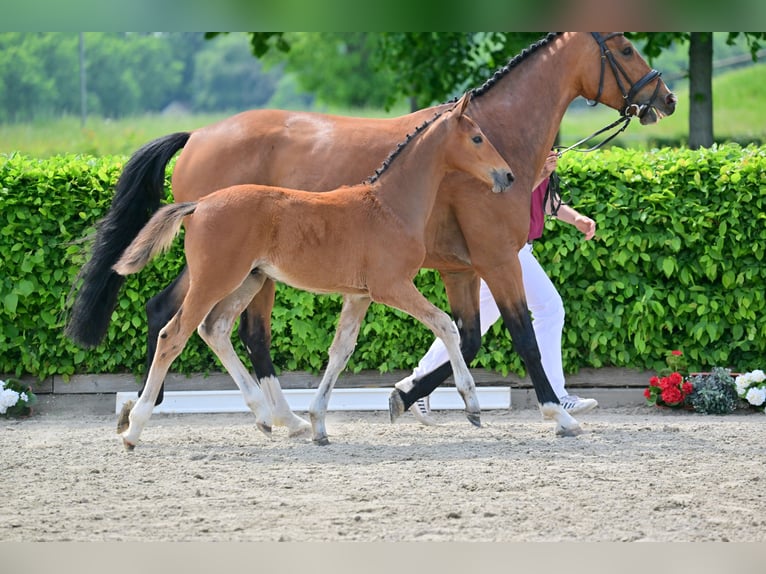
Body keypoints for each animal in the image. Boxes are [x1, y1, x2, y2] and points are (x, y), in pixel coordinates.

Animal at [112, 94, 516, 450]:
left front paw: (319, 423)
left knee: (215, 329)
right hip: (214, 280)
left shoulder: (359, 295)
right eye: (477, 137)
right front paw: (472, 405)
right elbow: (446, 325)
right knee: (173, 335)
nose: (508, 176)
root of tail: (199, 205)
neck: (389, 205)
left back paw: (267, 417)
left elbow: (340, 351)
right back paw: (134, 429)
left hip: (249, 280)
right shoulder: (391, 286)